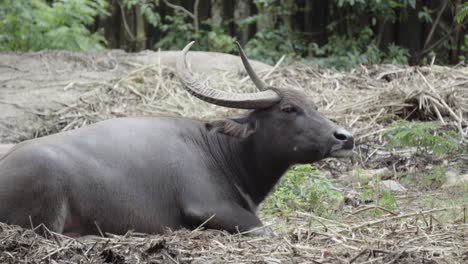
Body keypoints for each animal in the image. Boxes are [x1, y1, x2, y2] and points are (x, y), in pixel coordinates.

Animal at [0, 42, 352, 236]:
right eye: (289, 109)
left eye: (314, 105)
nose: (344, 137)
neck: (220, 152)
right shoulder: (210, 208)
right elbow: (266, 228)